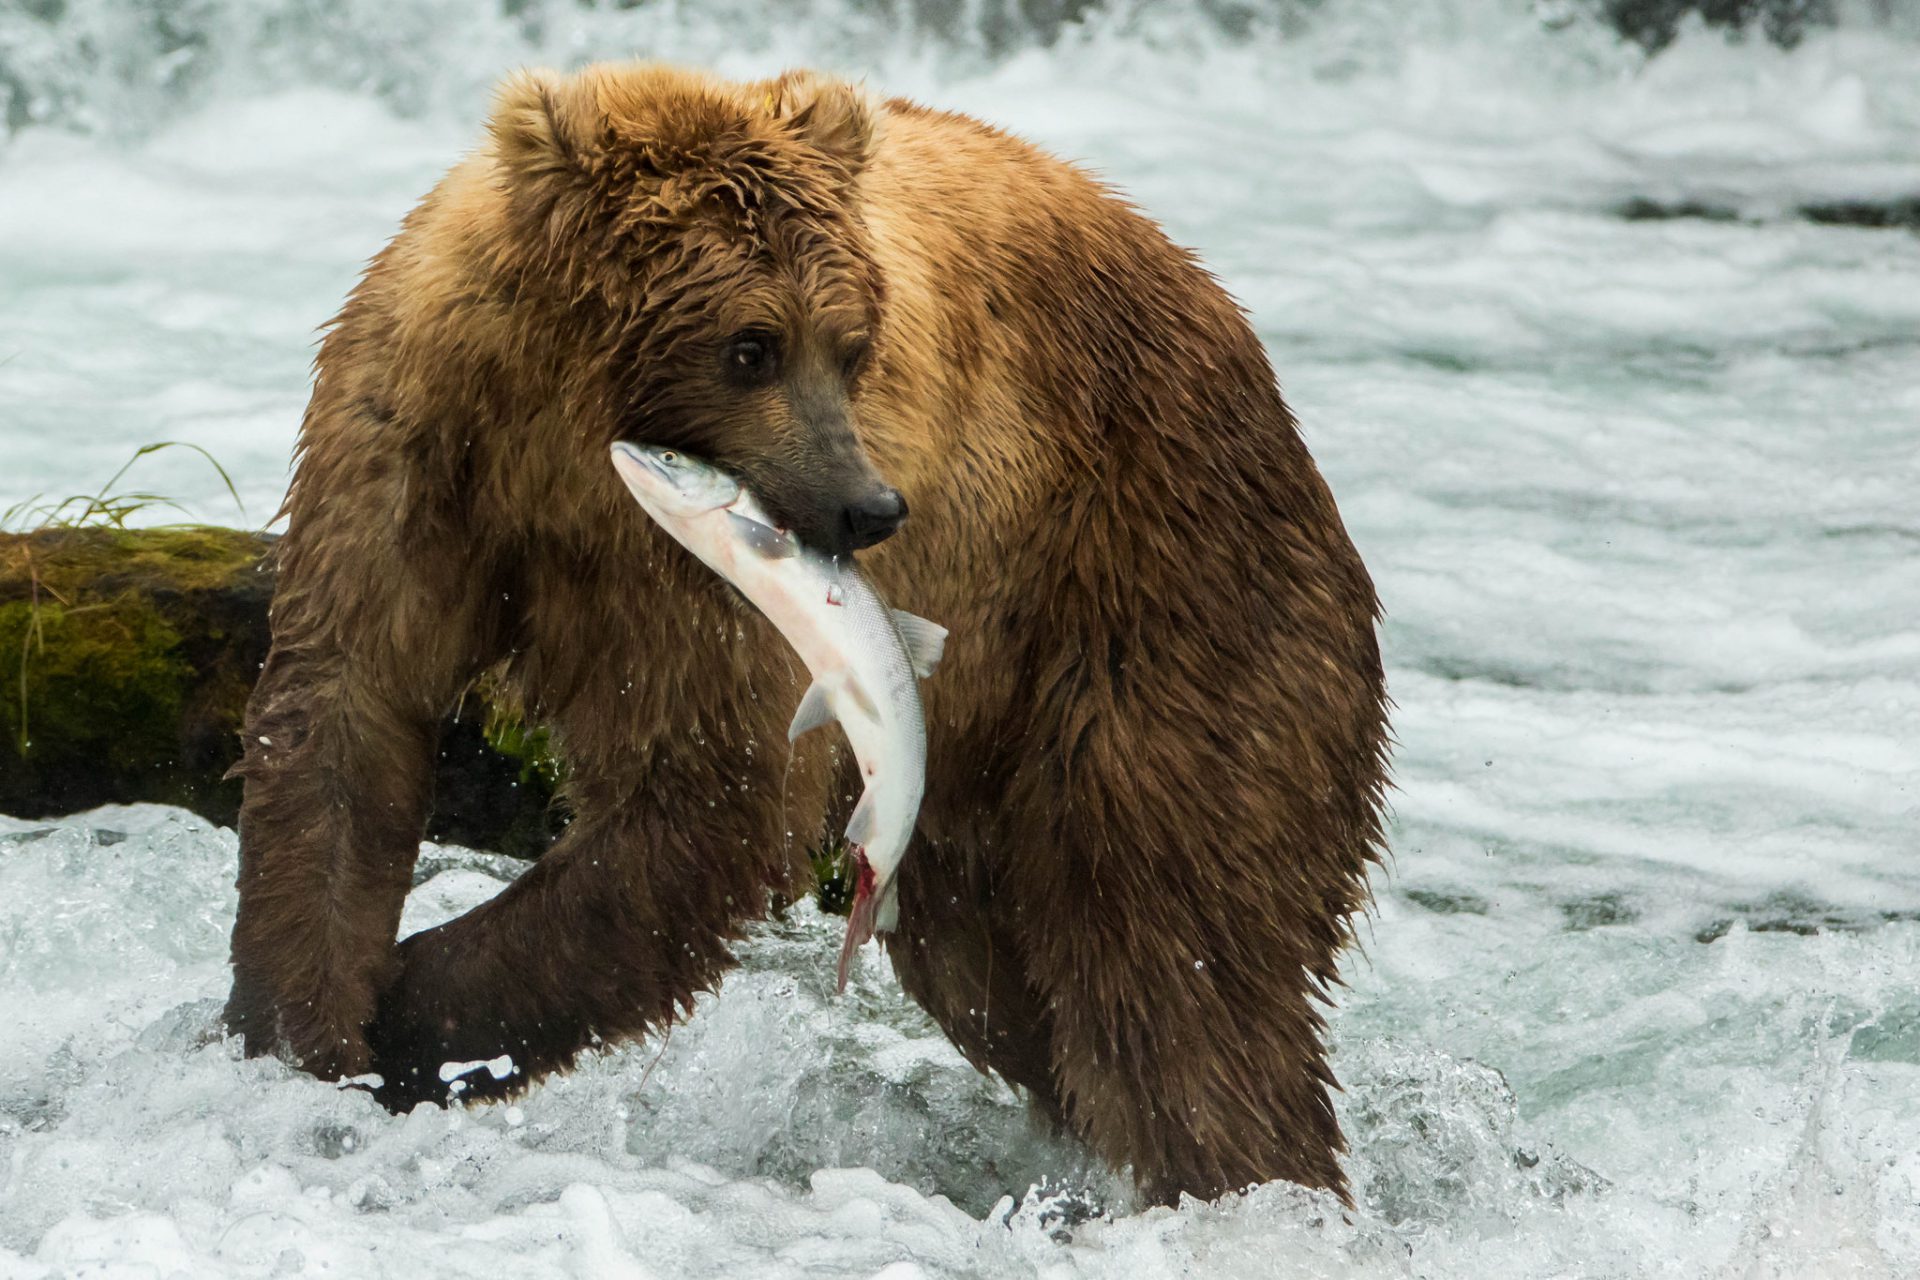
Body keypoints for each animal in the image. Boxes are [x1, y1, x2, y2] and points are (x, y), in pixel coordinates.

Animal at [224, 59, 1390, 1205]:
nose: (867, 509)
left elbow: (708, 797)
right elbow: (346, 718)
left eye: (853, 343)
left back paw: (1247, 1181)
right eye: (752, 346)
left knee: (1172, 959)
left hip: (1162, 600)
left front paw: (413, 1014)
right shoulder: (415, 455)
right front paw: (301, 1029)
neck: (553, 451)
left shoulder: (691, 584)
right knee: (1005, 974)